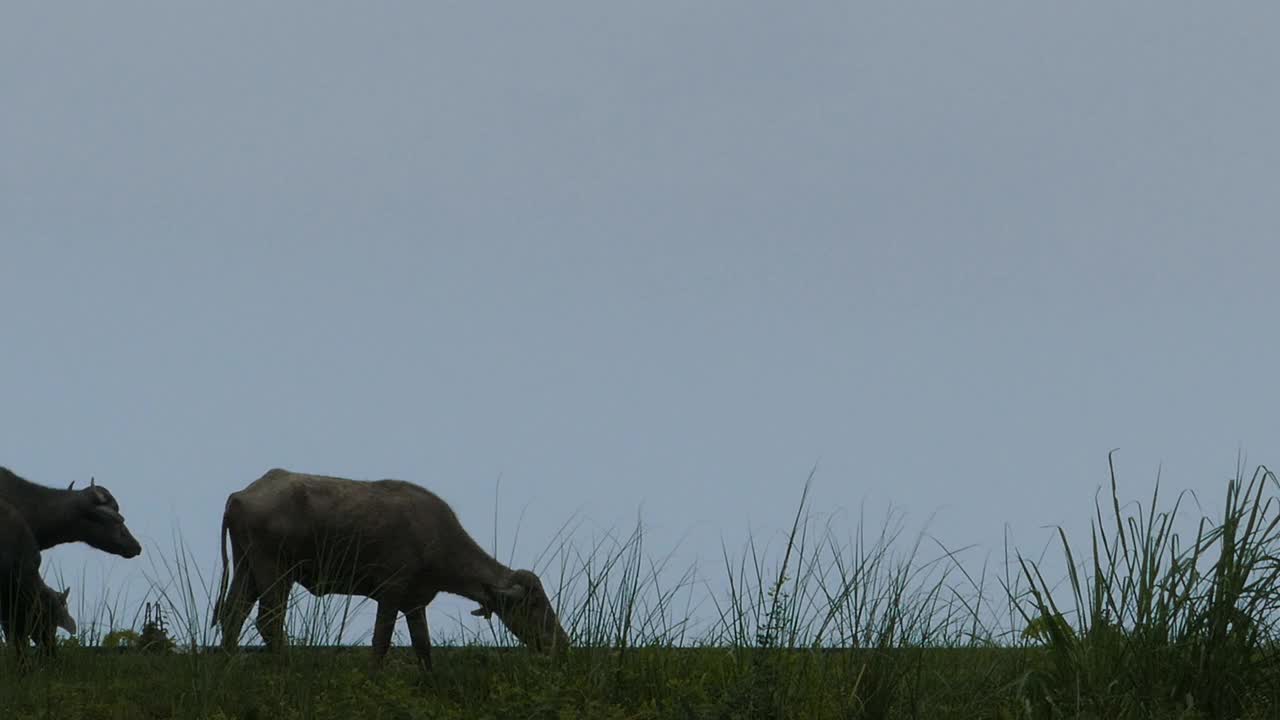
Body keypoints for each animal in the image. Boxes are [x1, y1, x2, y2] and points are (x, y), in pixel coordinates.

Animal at [213, 468, 570, 666]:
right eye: (533, 604)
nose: (562, 643)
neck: (435, 536)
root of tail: (240, 495)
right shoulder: (391, 592)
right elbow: (381, 641)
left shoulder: (415, 602)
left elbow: (423, 647)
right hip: (275, 571)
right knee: (269, 621)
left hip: (246, 568)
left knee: (233, 615)